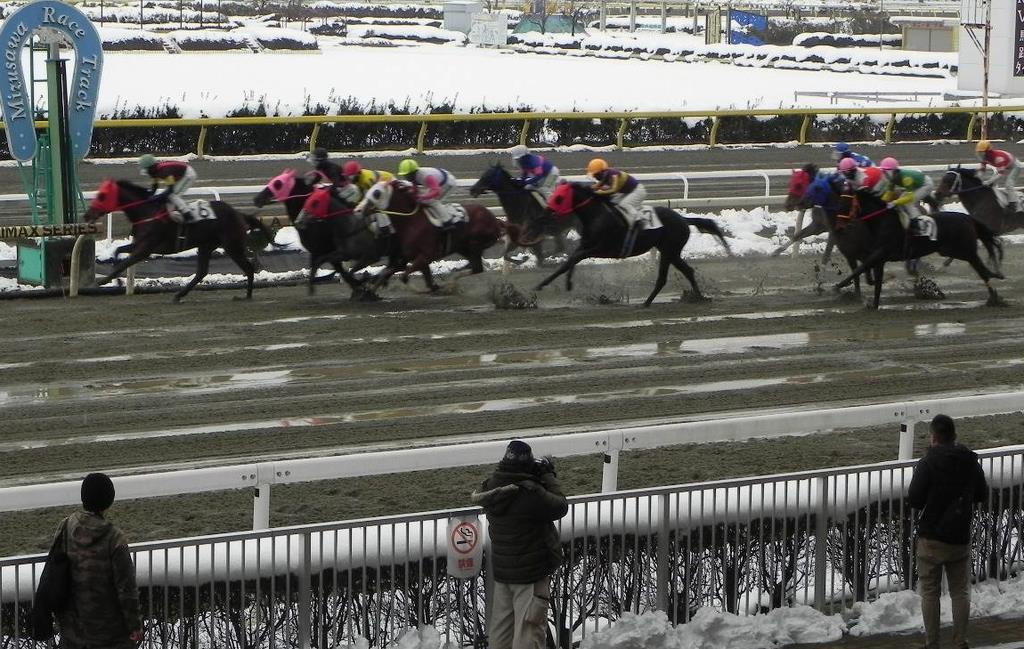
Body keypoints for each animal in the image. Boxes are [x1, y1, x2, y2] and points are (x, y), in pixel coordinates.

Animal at [83, 176, 276, 298]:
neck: (146, 212)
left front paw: (103, 281)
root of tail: (239, 214)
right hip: (206, 245)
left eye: (102, 196)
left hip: (232, 246)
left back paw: (247, 296)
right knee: (202, 272)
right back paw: (179, 295)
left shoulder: (146, 248)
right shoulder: (139, 244)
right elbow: (117, 252)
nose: (86, 215)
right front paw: (116, 281)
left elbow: (125, 262)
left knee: (248, 268)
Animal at [532, 179, 733, 305]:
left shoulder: (601, 248)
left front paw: (562, 283)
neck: (596, 216)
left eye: (559, 197)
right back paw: (692, 298)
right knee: (684, 272)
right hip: (669, 251)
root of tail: (683, 219)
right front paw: (546, 284)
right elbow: (568, 262)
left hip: (670, 250)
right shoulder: (585, 245)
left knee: (667, 277)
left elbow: (573, 260)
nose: (544, 213)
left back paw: (650, 302)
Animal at [827, 185, 1003, 307]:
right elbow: (873, 280)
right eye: (839, 203)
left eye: (846, 204)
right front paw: (874, 304)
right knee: (982, 269)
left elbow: (861, 269)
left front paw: (838, 287)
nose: (838, 227)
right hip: (956, 250)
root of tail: (969, 219)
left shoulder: (880, 253)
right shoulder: (879, 258)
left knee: (981, 270)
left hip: (962, 250)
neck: (882, 222)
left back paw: (994, 297)